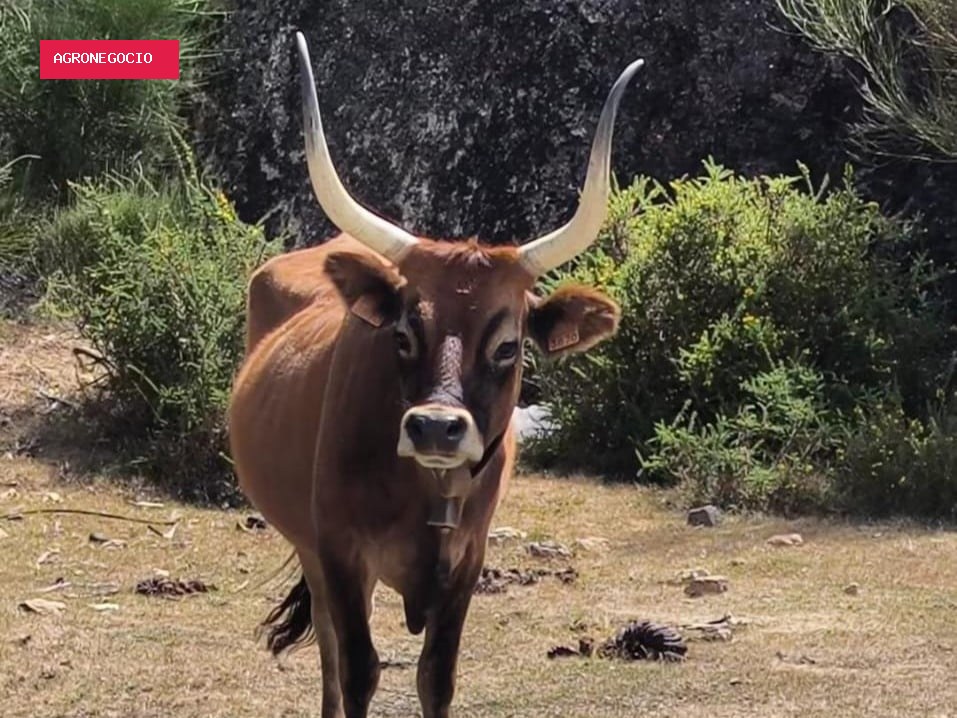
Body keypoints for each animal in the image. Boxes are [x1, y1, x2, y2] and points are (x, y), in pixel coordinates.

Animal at [227, 31, 643, 718]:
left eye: (508, 345)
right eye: (402, 333)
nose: (436, 429)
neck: (425, 489)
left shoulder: (468, 562)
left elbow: (435, 677)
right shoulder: (340, 550)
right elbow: (359, 669)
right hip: (312, 550)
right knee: (331, 656)